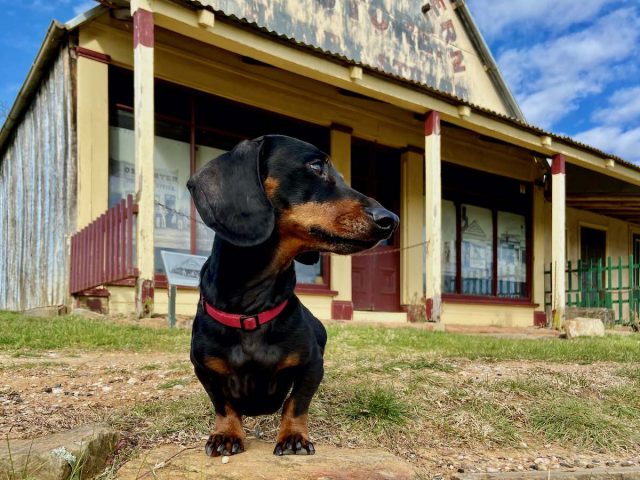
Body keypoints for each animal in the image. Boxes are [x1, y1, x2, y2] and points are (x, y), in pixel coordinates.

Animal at [185, 134, 398, 458]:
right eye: (316, 166)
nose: (391, 220)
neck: (251, 310)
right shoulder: (203, 368)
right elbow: (223, 404)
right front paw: (226, 434)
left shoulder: (312, 365)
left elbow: (295, 403)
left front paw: (293, 437)